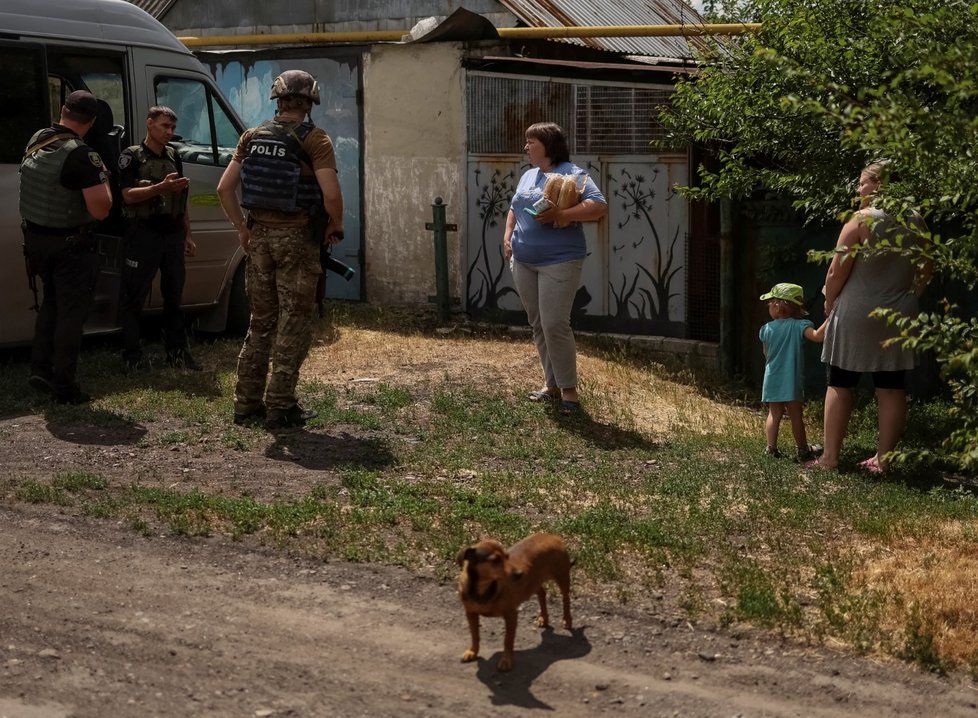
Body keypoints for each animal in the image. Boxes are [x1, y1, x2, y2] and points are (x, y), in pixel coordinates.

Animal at [456, 532, 572, 672]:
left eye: (507, 557)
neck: (482, 588)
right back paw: (543, 618)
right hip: (534, 582)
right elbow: (474, 635)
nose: (520, 573)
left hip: (562, 576)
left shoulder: (511, 615)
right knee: (542, 593)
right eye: (495, 560)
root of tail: (551, 535)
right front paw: (472, 652)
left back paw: (567, 620)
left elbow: (508, 640)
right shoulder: (470, 613)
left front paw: (506, 660)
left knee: (566, 599)